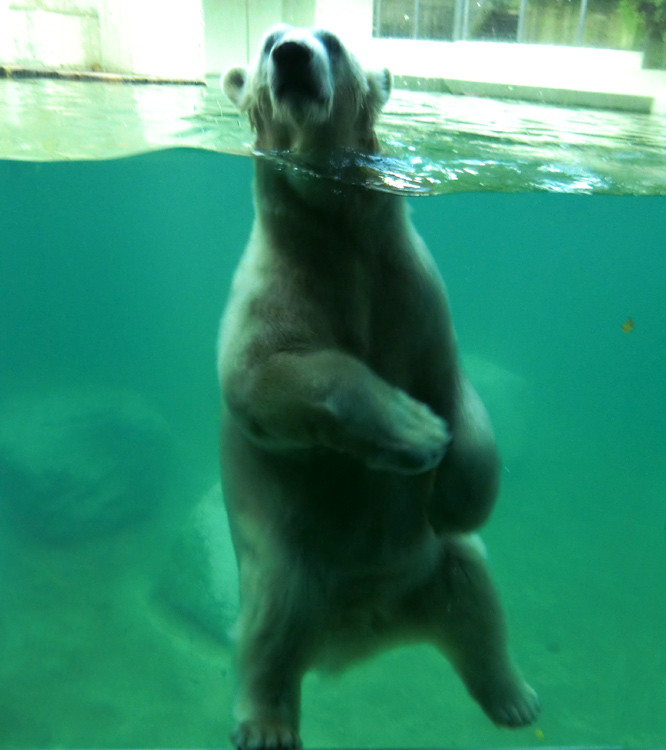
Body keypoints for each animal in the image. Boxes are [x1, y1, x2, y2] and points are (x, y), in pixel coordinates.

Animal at [218, 26, 540, 750]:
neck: (338, 237)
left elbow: (457, 392)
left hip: (432, 569)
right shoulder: (274, 291)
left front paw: (456, 492)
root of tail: (357, 636)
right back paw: (268, 723)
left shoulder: (412, 292)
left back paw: (515, 699)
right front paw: (416, 432)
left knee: (476, 598)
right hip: (286, 563)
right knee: (270, 626)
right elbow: (263, 376)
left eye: (331, 40)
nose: (293, 54)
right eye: (269, 40)